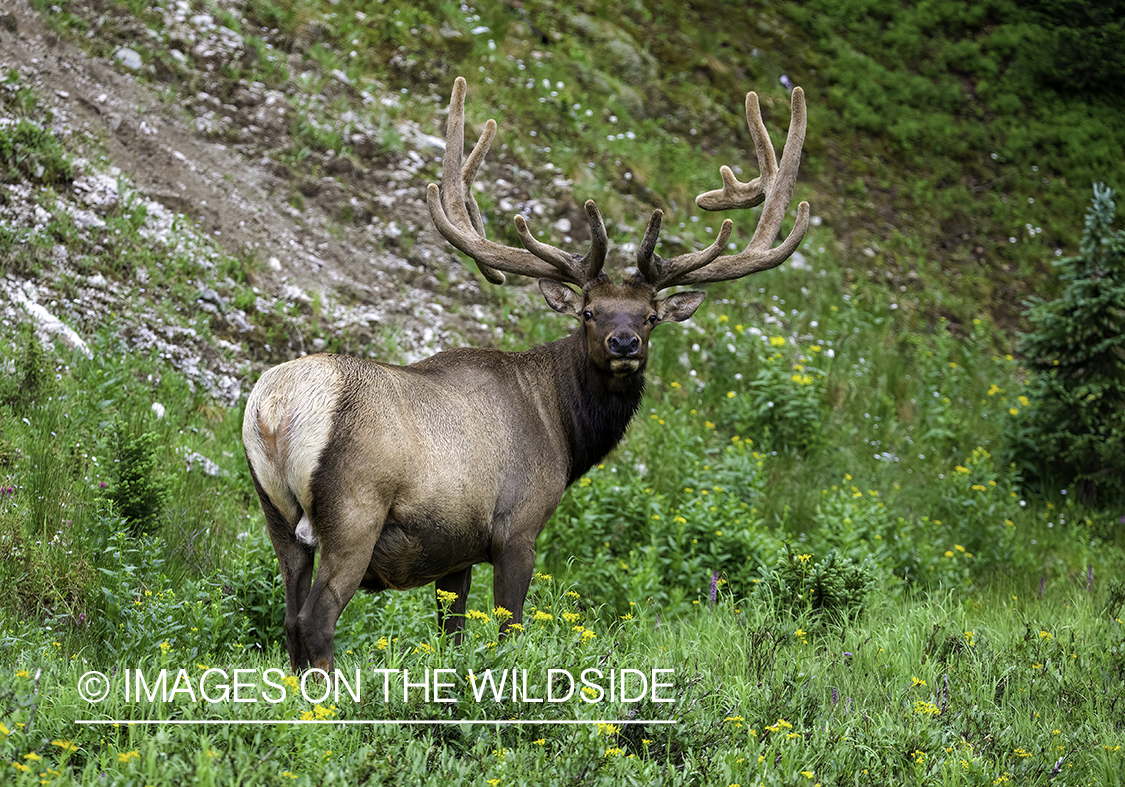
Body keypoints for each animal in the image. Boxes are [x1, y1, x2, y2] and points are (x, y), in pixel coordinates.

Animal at [244, 77, 810, 674]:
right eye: (589, 313)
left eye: (650, 317)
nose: (625, 343)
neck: (563, 428)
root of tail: (274, 410)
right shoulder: (518, 526)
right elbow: (508, 630)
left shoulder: (455, 549)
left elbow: (453, 634)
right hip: (354, 510)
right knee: (315, 619)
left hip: (277, 516)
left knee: (289, 617)